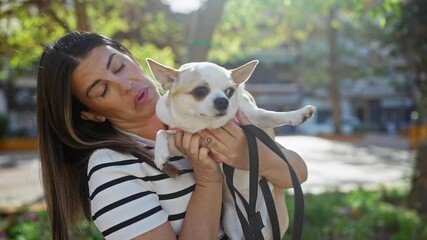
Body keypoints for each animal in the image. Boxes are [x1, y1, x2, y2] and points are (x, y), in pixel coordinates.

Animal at [148, 58, 318, 240]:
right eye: (200, 91)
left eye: (229, 91)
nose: (223, 101)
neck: (206, 126)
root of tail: (252, 216)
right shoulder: (181, 139)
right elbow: (161, 133)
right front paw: (160, 154)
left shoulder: (255, 118)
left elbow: (274, 115)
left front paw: (300, 114)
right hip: (232, 223)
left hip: (271, 225)